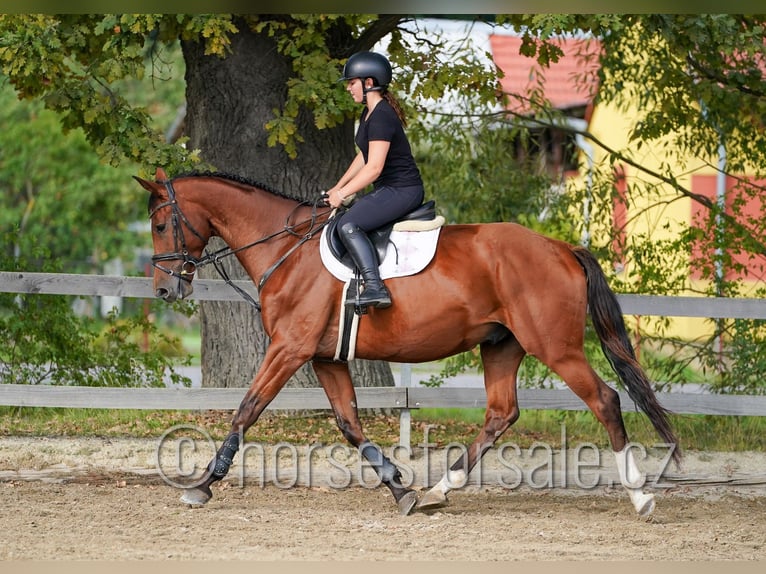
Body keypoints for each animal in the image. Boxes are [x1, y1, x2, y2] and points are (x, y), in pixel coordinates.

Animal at [135, 167, 680, 517]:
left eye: (161, 224)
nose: (164, 290)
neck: (285, 248)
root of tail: (562, 247)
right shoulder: (324, 357)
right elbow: (350, 425)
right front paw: (400, 489)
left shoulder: (289, 349)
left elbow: (246, 409)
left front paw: (203, 485)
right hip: (501, 345)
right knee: (500, 414)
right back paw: (440, 490)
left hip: (556, 348)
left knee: (605, 401)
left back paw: (640, 497)